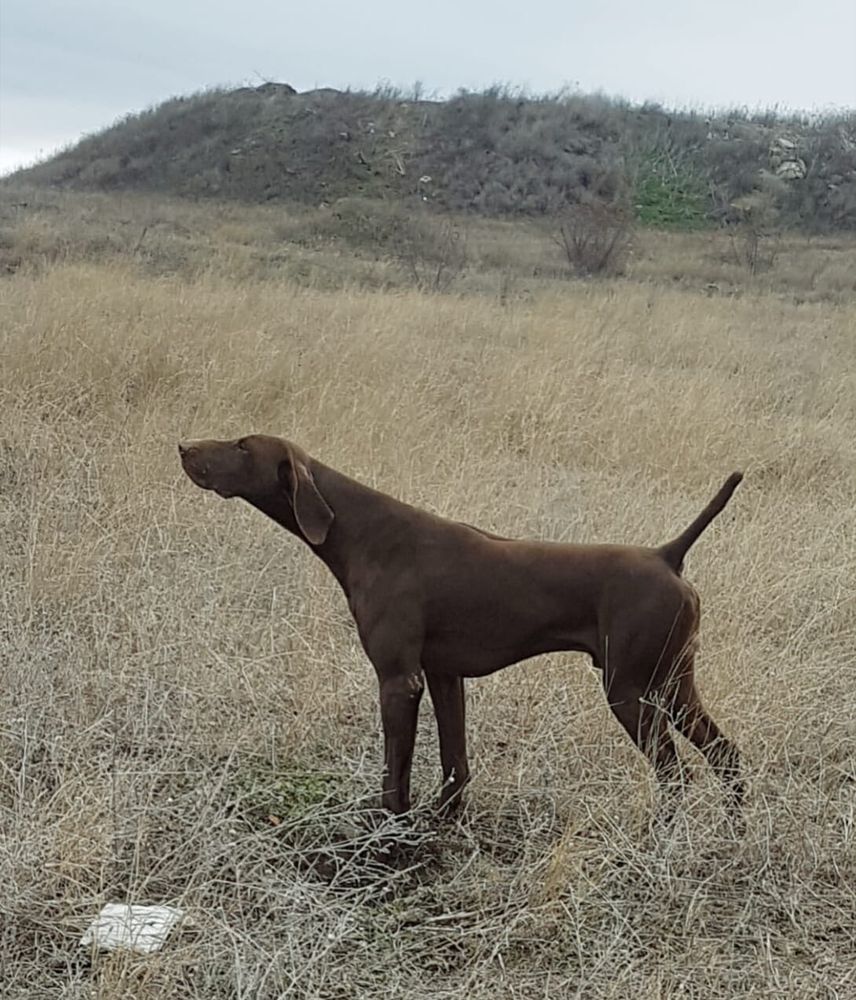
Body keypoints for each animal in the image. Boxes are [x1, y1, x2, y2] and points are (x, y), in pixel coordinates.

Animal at [179, 438, 744, 820]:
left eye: (242, 446)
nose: (184, 447)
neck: (363, 531)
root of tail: (667, 555)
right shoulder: (443, 675)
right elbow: (456, 762)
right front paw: (443, 820)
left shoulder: (399, 680)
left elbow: (395, 774)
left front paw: (387, 834)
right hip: (673, 685)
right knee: (726, 756)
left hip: (630, 691)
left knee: (677, 775)